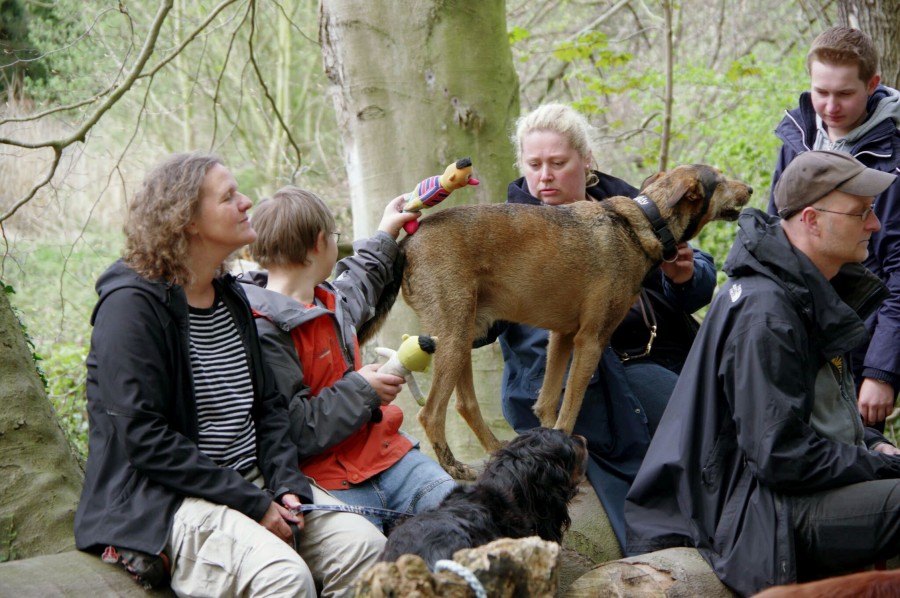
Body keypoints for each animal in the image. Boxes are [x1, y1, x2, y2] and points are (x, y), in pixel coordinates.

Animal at [361, 164, 752, 479]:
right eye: (719, 180)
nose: (749, 189)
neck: (641, 223)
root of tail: (407, 244)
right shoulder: (591, 340)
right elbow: (571, 406)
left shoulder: (562, 336)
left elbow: (548, 402)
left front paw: (549, 445)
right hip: (454, 338)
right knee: (430, 414)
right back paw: (454, 466)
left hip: (463, 333)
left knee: (464, 404)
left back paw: (496, 450)